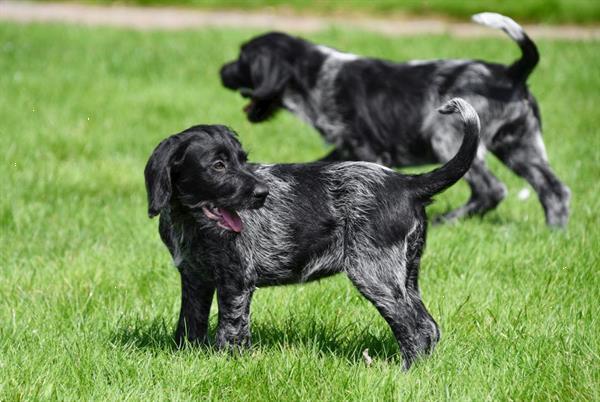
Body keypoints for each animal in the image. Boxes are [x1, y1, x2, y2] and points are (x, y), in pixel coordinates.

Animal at [146, 98, 482, 370]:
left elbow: (230, 330)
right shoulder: (195, 278)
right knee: (428, 327)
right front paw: (186, 358)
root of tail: (407, 183)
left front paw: (227, 364)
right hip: (405, 274)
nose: (262, 194)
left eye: (242, 160)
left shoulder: (237, 280)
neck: (190, 220)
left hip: (374, 273)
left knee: (414, 329)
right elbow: (190, 324)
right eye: (218, 165)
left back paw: (405, 374)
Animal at [221, 11, 572, 226]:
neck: (318, 75)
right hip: (521, 145)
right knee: (555, 191)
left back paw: (448, 221)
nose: (220, 71)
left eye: (241, 58)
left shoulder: (366, 149)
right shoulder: (346, 148)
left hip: (448, 136)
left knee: (491, 189)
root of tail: (512, 73)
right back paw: (554, 235)